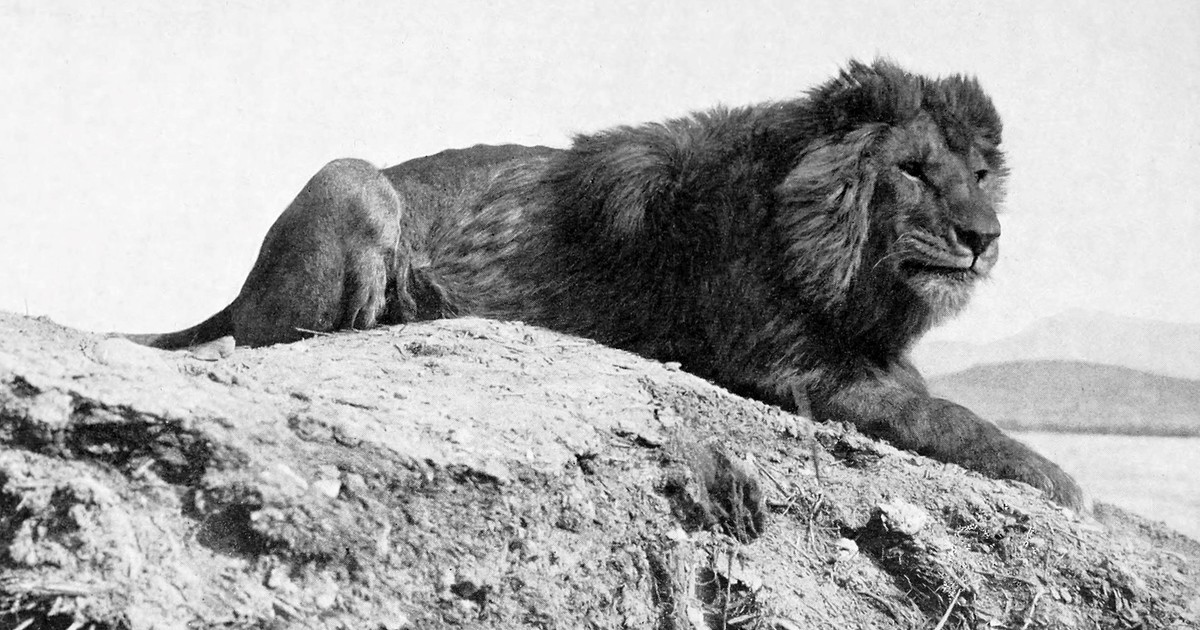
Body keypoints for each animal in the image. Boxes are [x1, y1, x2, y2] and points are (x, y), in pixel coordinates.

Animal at [127, 60, 1086, 511]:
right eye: (915, 171)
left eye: (981, 173)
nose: (984, 238)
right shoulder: (787, 367)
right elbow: (948, 417)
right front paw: (1060, 479)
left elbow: (938, 401)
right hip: (350, 177)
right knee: (277, 330)